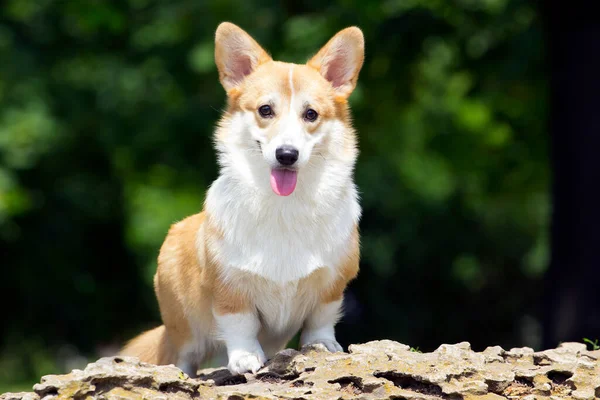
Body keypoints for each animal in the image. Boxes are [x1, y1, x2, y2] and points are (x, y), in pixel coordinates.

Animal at [120, 21, 366, 376]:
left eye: (311, 114)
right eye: (265, 110)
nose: (287, 154)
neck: (284, 207)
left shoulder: (332, 284)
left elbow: (321, 319)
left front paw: (322, 345)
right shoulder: (229, 286)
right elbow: (241, 325)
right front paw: (246, 358)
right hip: (182, 328)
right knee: (183, 356)